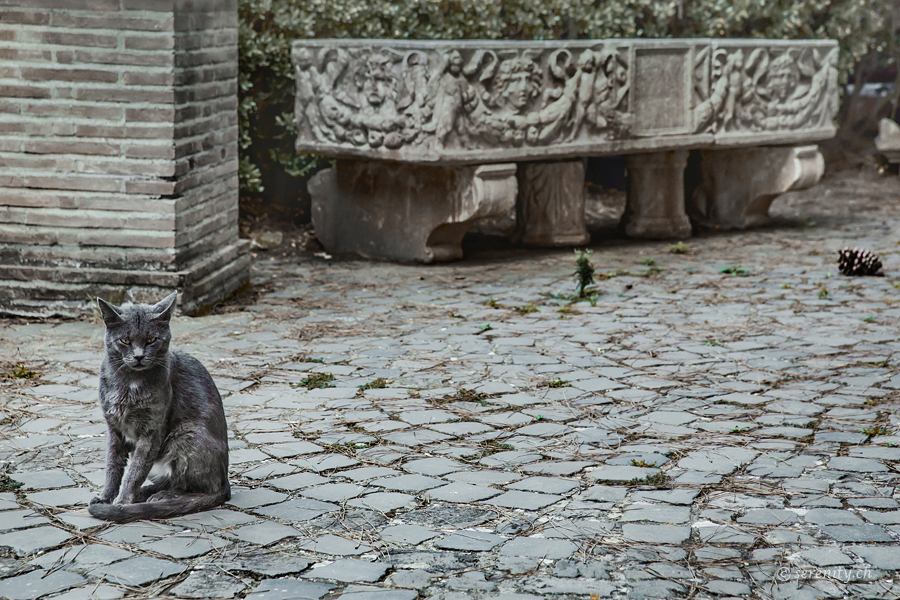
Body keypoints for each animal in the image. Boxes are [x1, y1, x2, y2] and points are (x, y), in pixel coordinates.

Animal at [88, 292, 230, 524]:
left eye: (151, 340)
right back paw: (147, 492)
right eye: (125, 340)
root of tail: (226, 480)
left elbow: (135, 471)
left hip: (187, 435)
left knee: (200, 488)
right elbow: (113, 467)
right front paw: (106, 497)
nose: (138, 356)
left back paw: (162, 497)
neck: (129, 383)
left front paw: (122, 502)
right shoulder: (114, 430)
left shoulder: (152, 432)